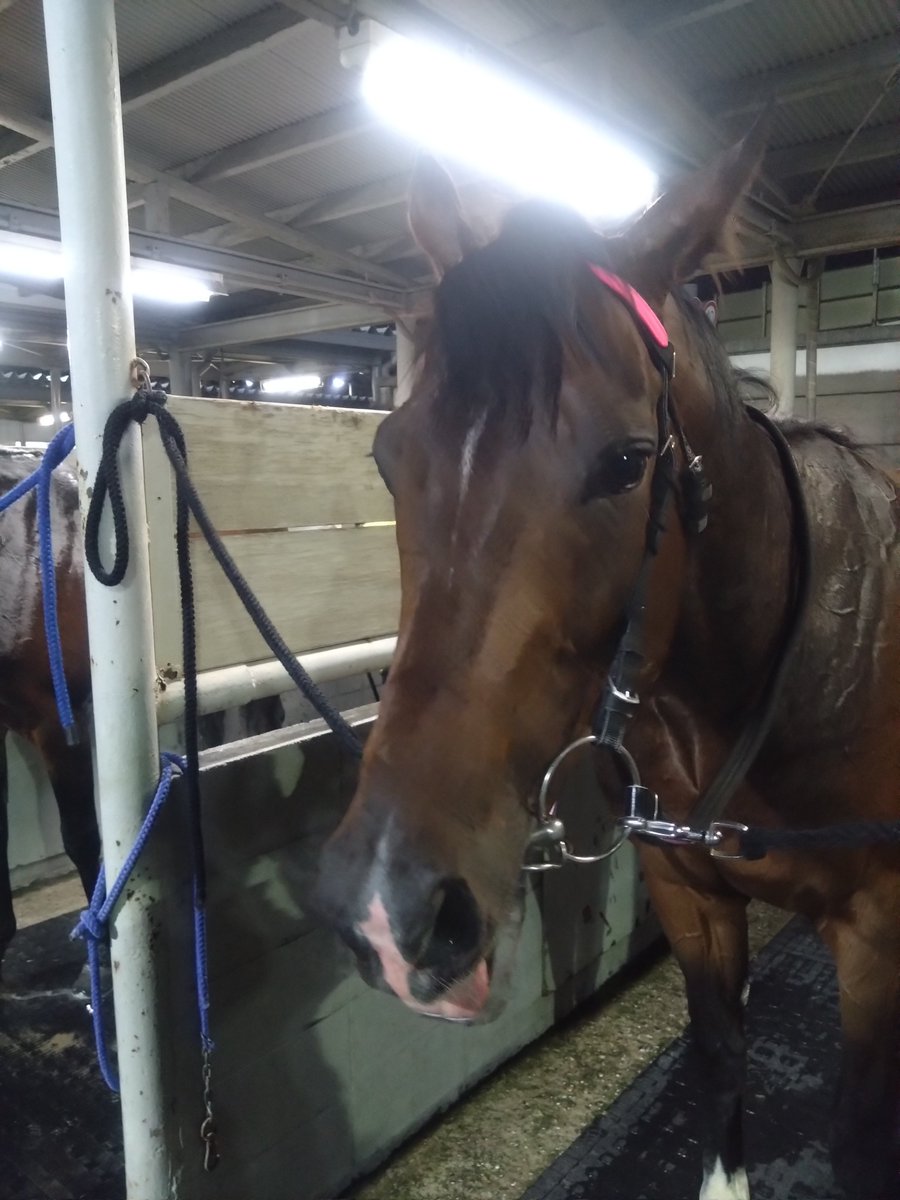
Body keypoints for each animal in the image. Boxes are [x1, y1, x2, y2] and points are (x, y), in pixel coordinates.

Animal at [314, 133, 900, 1200]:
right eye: (388, 456)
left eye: (629, 462)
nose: (390, 909)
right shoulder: (690, 897)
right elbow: (719, 1058)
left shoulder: (880, 933)